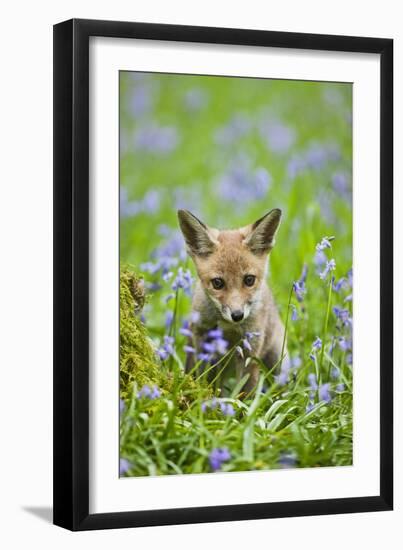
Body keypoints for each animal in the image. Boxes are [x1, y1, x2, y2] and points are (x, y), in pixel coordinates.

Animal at [178, 209, 288, 394]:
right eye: (217, 283)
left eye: (249, 280)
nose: (237, 315)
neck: (228, 328)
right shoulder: (202, 336)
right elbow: (205, 378)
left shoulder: (250, 348)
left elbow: (245, 391)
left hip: (277, 358)